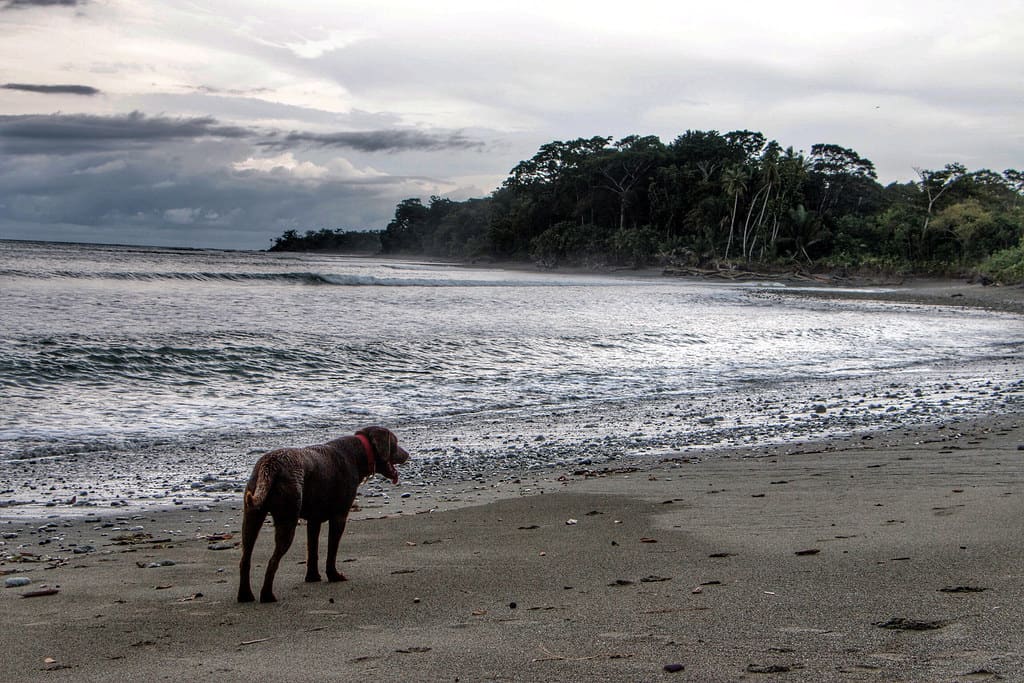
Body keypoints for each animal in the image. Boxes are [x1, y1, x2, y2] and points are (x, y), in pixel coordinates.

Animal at [237, 428, 409, 602]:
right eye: (395, 442)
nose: (407, 454)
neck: (358, 453)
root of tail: (270, 464)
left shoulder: (314, 521)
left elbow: (312, 550)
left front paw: (313, 577)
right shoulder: (339, 517)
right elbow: (331, 551)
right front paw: (333, 575)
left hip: (251, 517)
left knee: (245, 559)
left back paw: (245, 595)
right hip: (287, 520)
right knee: (272, 561)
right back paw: (267, 595)